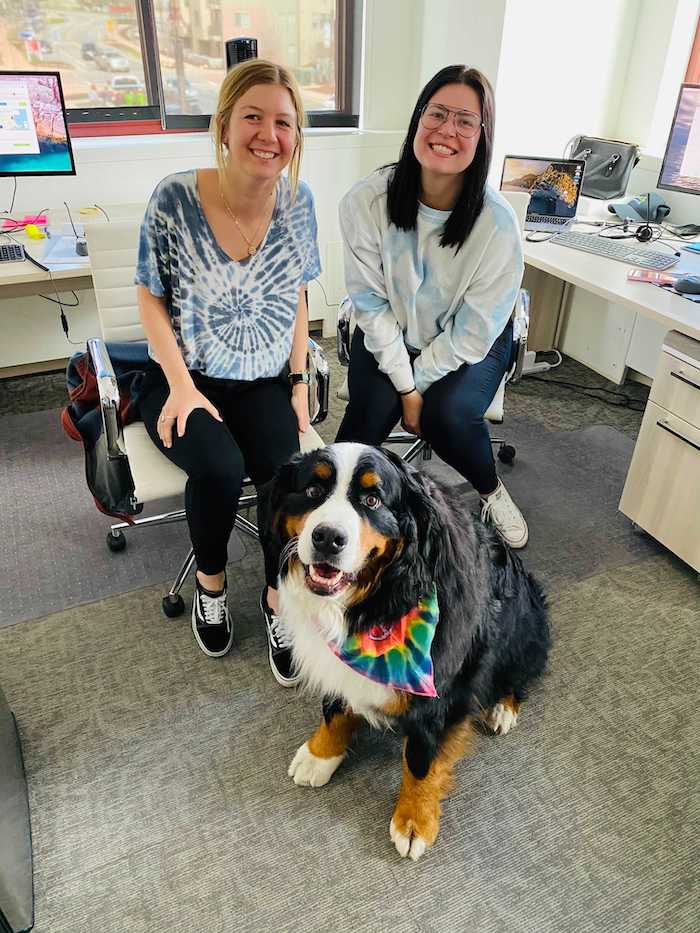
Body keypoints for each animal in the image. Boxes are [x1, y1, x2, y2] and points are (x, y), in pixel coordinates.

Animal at [270, 442, 548, 860]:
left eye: (372, 499)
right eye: (313, 491)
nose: (327, 537)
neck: (380, 602)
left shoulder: (439, 694)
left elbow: (420, 761)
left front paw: (414, 821)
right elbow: (334, 708)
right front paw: (320, 755)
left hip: (521, 629)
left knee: (519, 672)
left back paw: (502, 707)